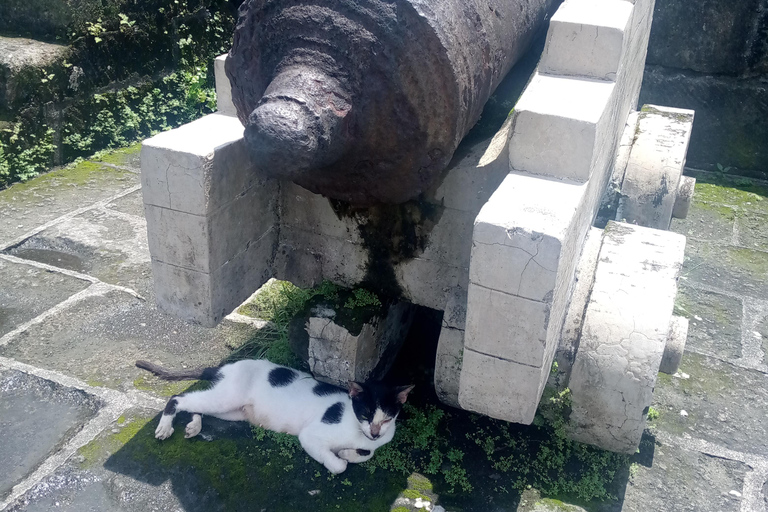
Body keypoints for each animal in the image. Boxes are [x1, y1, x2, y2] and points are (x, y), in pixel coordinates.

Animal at [137, 358, 414, 474]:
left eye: (387, 418)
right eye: (366, 413)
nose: (375, 432)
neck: (358, 431)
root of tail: (226, 366)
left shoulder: (374, 443)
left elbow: (366, 454)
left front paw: (349, 452)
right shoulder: (309, 436)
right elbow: (339, 466)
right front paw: (340, 457)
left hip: (231, 411)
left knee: (196, 404)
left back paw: (194, 425)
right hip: (227, 398)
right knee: (179, 398)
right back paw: (166, 426)